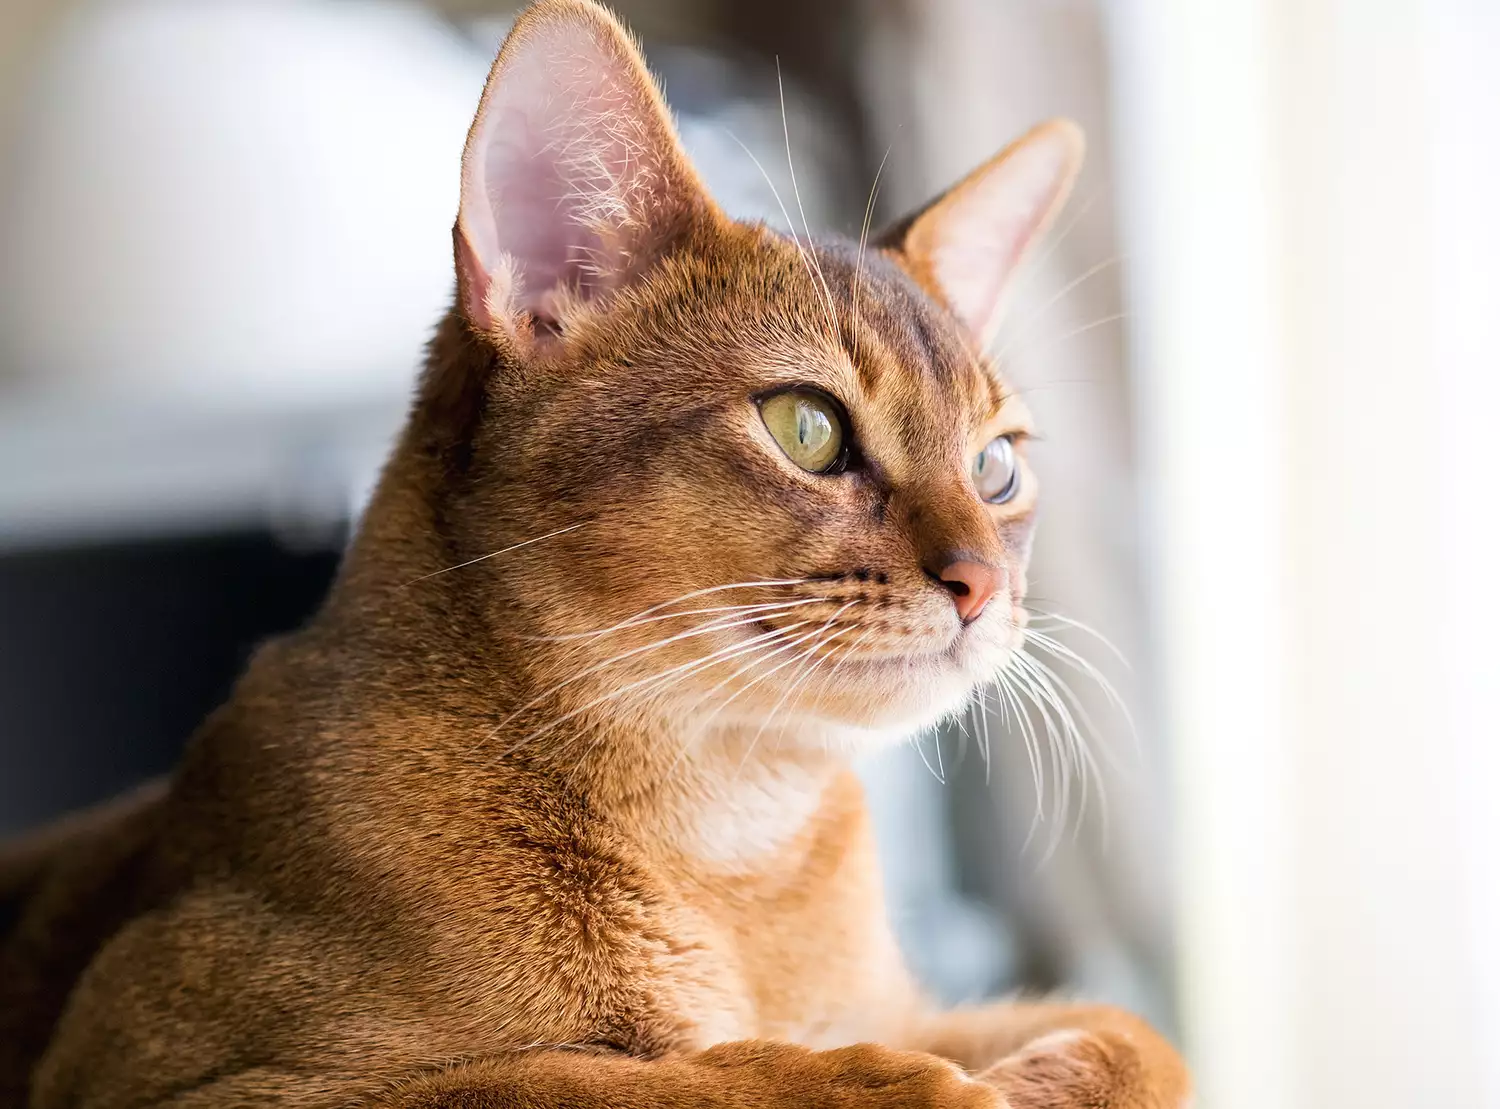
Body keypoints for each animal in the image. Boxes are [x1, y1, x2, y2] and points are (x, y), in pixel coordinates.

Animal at [2, 0, 1194, 1104]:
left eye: (997, 467)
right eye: (806, 425)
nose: (985, 583)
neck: (733, 848)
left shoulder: (910, 1003)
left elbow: (1137, 1028)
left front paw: (1045, 1074)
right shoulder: (194, 1078)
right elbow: (624, 1074)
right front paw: (912, 1085)